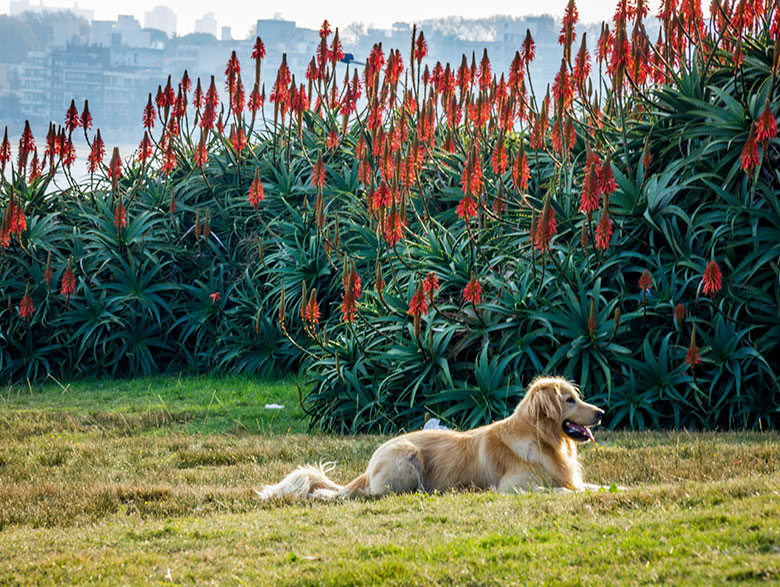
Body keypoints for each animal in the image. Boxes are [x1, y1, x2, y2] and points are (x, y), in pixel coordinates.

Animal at [258, 376, 608, 500]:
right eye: (569, 400)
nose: (602, 412)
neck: (543, 441)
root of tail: (371, 463)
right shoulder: (510, 487)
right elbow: (558, 490)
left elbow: (589, 485)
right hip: (404, 467)